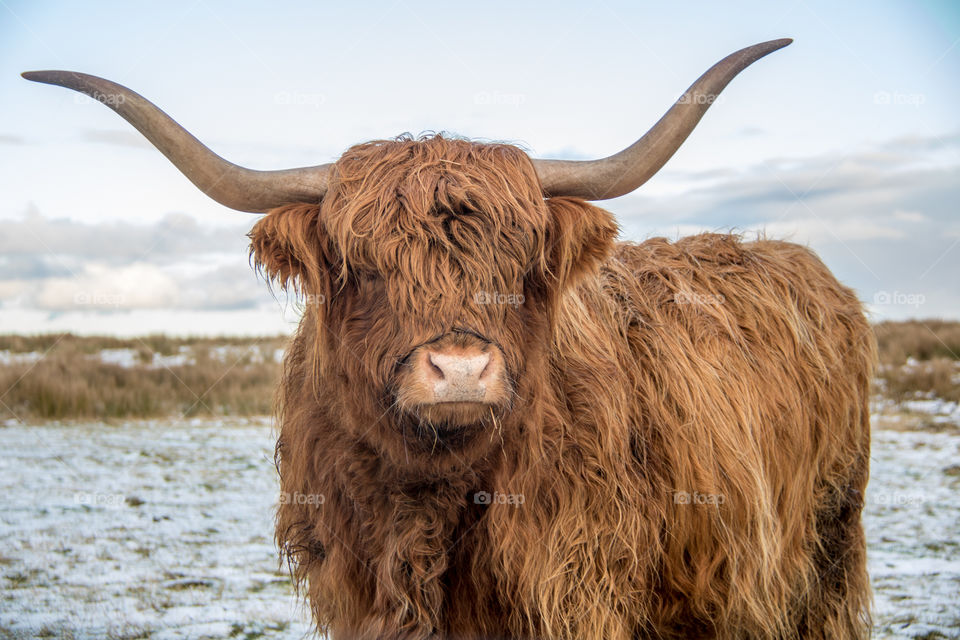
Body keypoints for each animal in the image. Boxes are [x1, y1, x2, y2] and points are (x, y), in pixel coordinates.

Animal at [26, 37, 872, 636]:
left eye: (519, 261)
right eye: (362, 267)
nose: (461, 370)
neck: (424, 504)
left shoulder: (579, 593)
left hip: (823, 558)